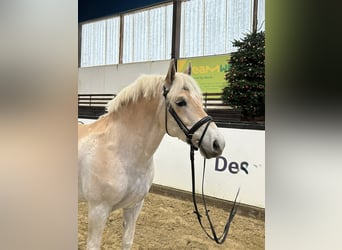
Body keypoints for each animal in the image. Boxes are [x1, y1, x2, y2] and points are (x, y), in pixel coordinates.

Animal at [78, 59, 226, 249]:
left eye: (200, 100)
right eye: (180, 102)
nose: (218, 143)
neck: (119, 152)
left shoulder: (134, 207)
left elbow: (127, 241)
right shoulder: (98, 210)